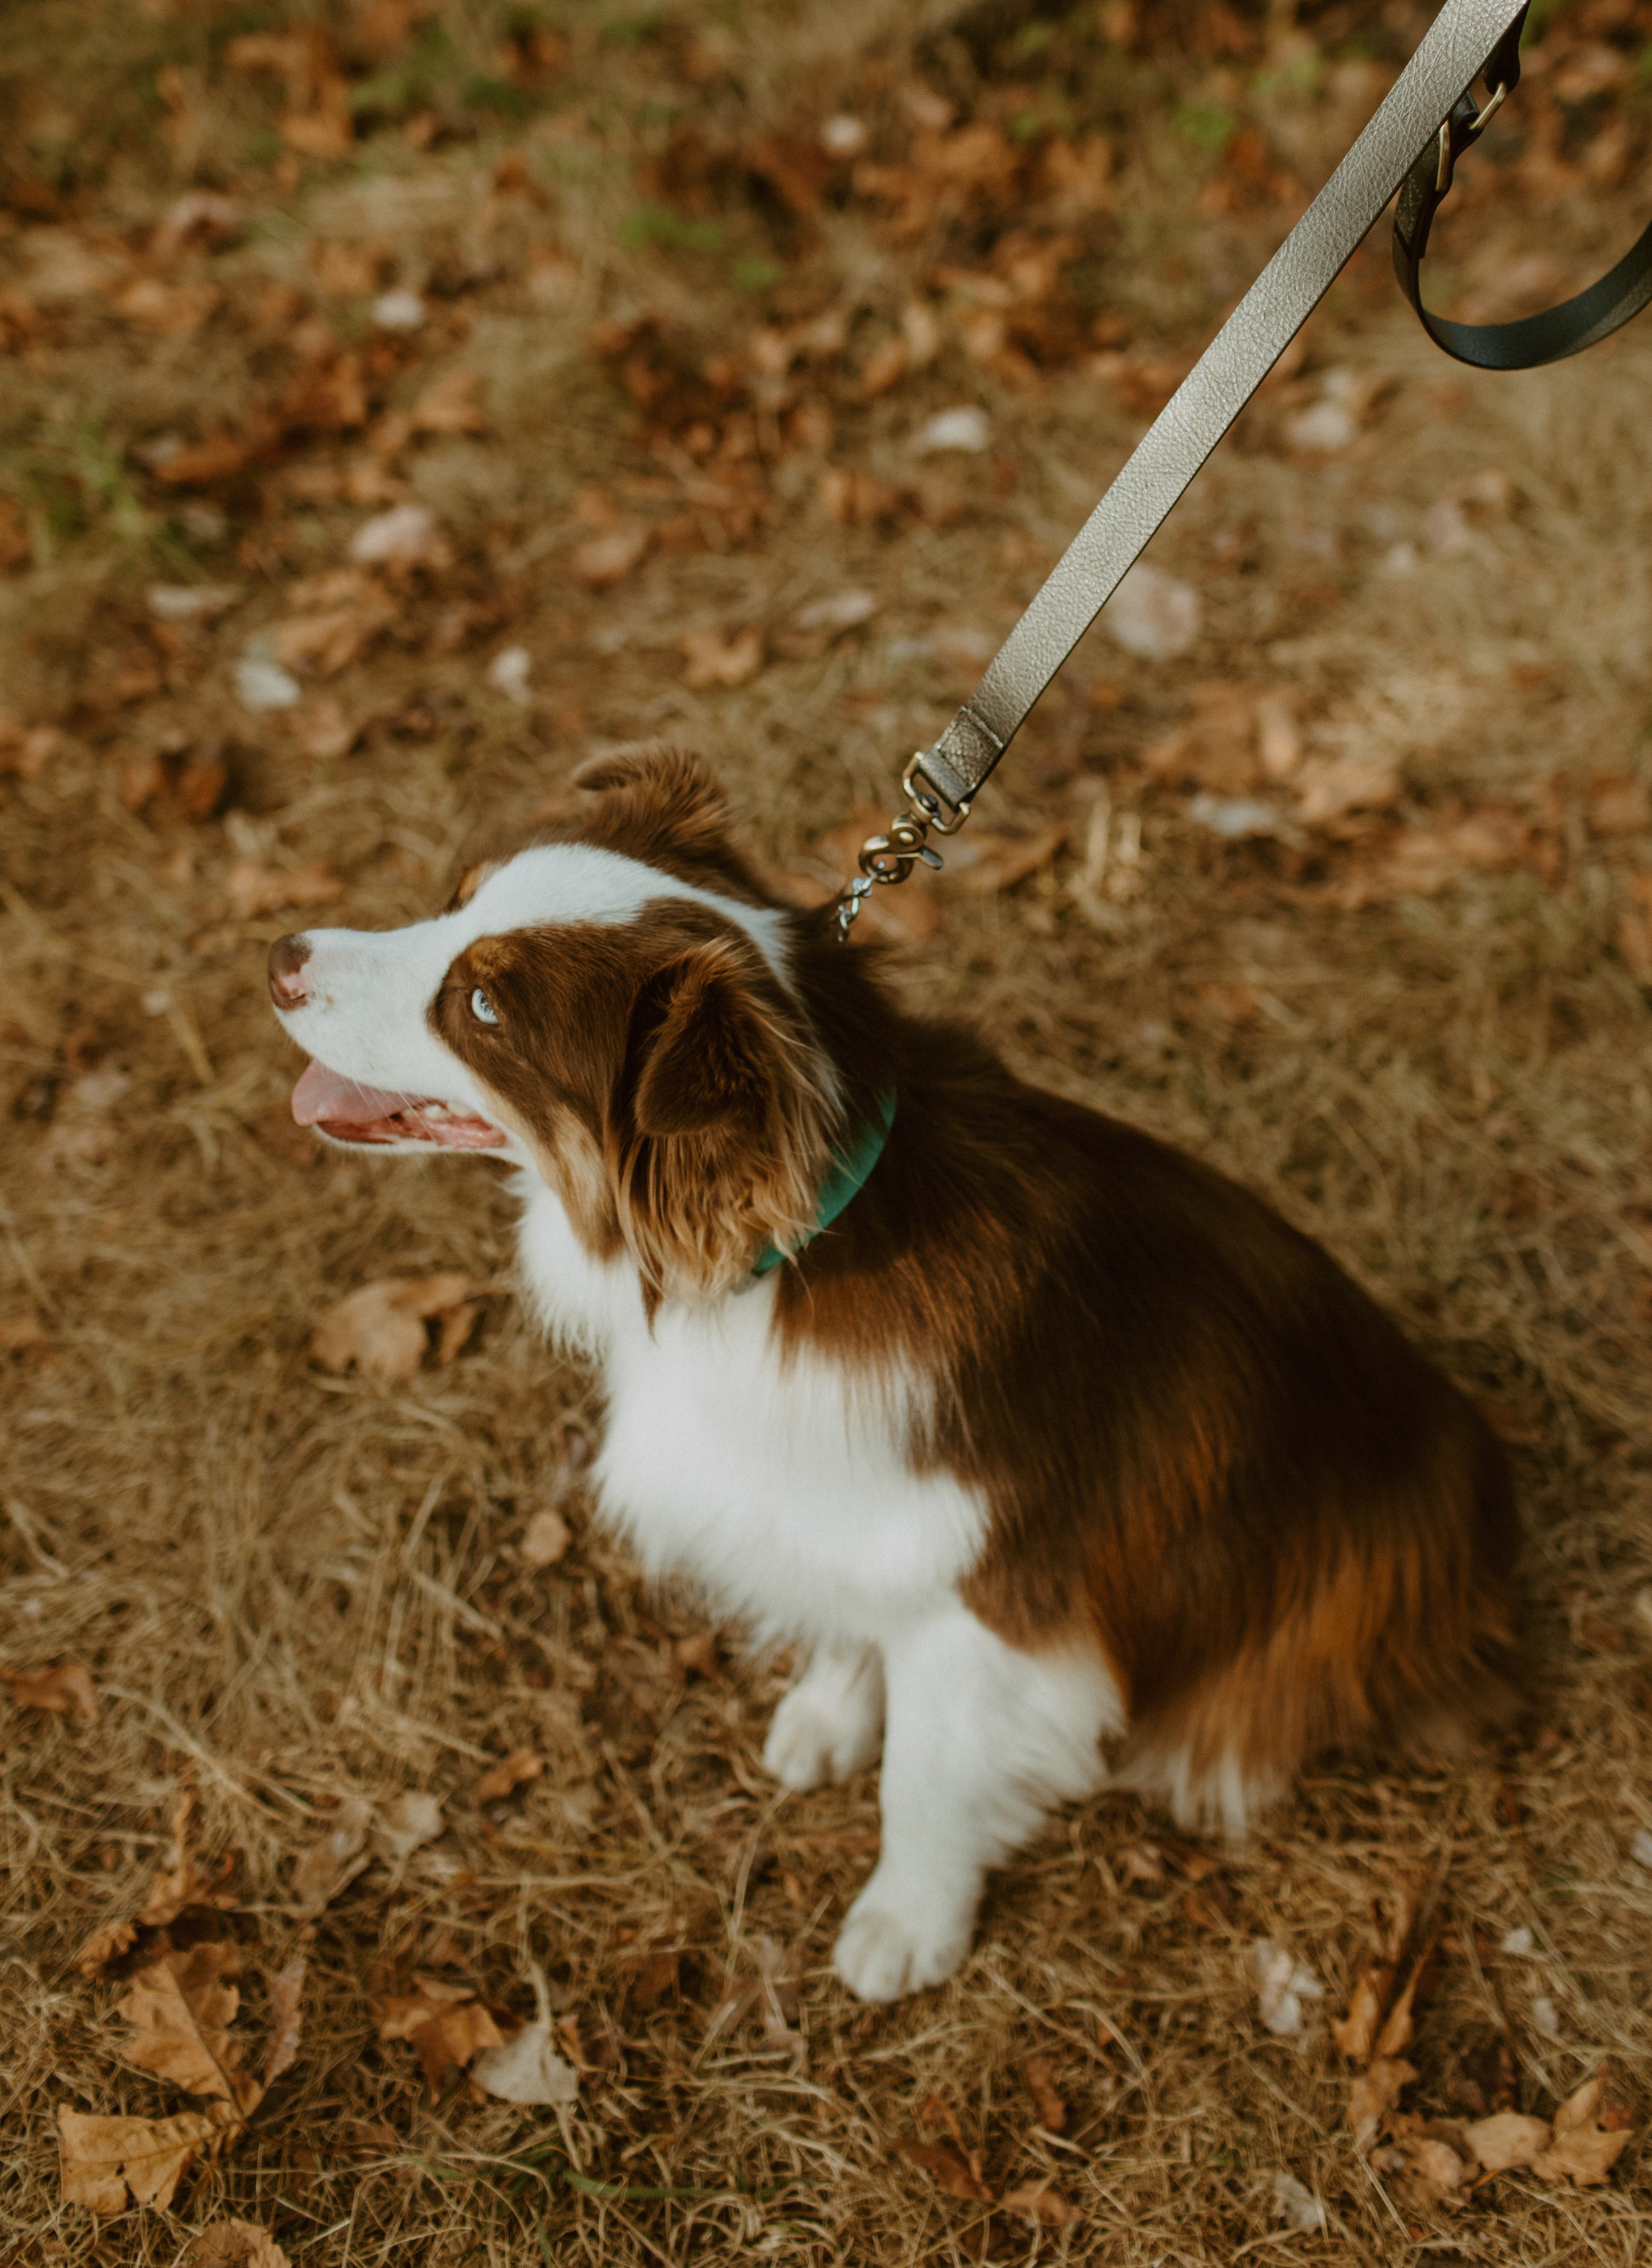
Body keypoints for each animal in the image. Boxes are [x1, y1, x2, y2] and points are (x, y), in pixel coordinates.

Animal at [271, 748, 1524, 2004]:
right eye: (456, 898)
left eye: (482, 1006)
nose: (280, 957)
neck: (789, 1253)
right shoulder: (833, 1493)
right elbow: (842, 1608)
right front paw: (833, 1711)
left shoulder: (996, 1589)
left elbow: (925, 1777)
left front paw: (909, 1917)